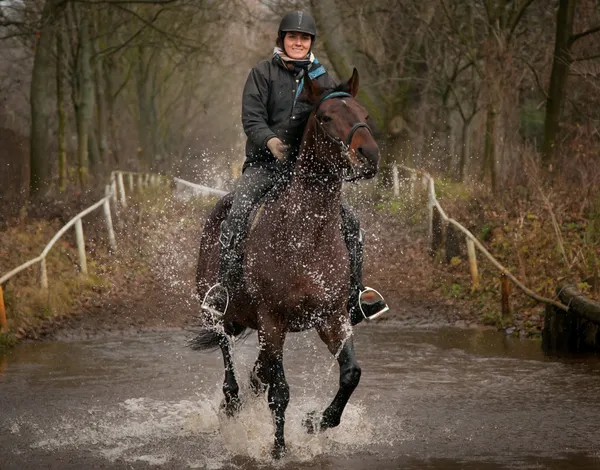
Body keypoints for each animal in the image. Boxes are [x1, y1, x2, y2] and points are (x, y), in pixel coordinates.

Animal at [192, 70, 380, 458]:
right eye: (326, 118)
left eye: (364, 114)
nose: (369, 155)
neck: (306, 233)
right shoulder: (272, 320)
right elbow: (280, 393)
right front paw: (278, 449)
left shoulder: (331, 317)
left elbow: (350, 374)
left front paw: (314, 423)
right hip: (223, 313)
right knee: (228, 354)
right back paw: (231, 403)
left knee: (259, 372)